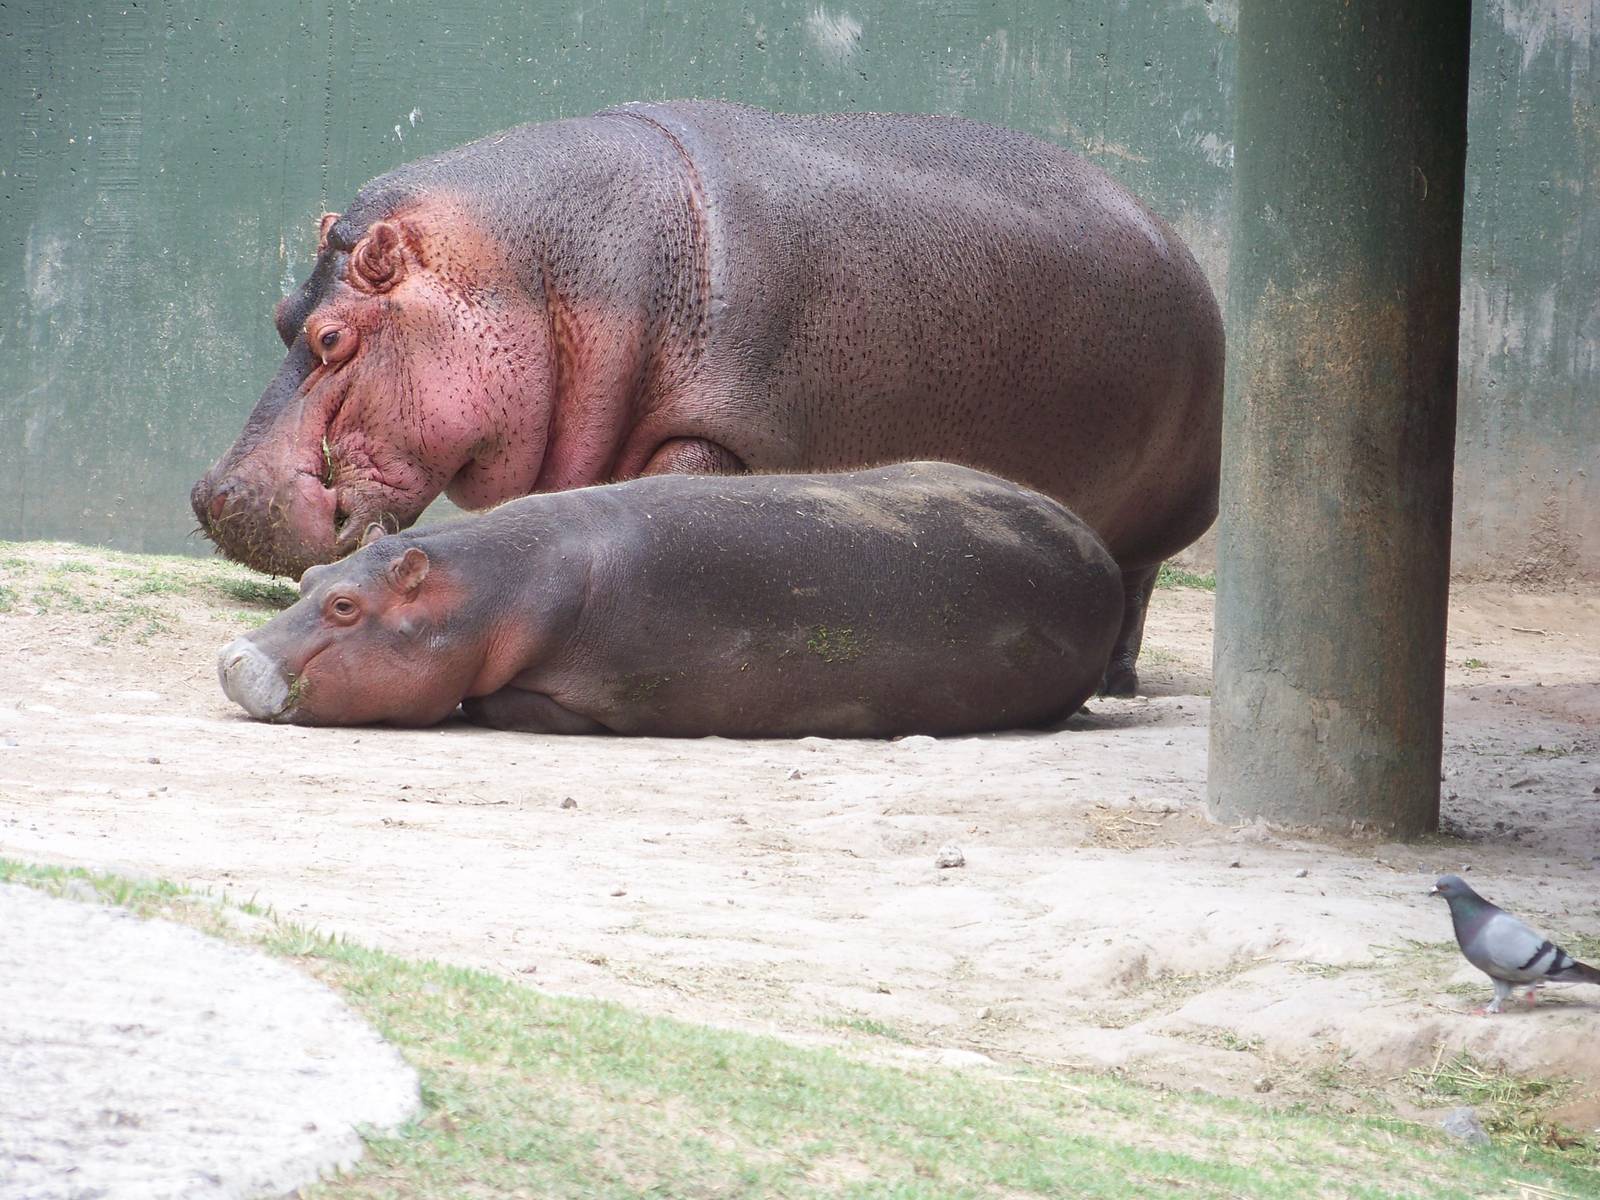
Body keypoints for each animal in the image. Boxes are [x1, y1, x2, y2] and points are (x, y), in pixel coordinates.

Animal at [192, 99, 1222, 695]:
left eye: (334, 338)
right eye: (281, 314)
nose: (214, 496)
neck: (538, 271)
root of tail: (1176, 239)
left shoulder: (720, 438)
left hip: (1160, 513)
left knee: (1138, 580)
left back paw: (1118, 682)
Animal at [216, 463, 1124, 738]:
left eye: (345, 610)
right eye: (310, 583)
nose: (232, 657)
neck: (487, 589)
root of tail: (1104, 554)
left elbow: (492, 704)